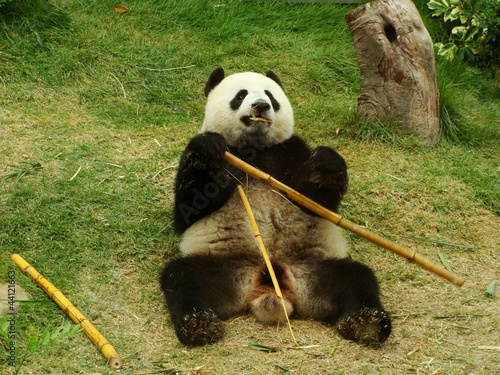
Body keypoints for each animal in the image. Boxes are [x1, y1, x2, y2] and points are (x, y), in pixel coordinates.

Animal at [160, 67, 390, 346]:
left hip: (314, 267)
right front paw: (207, 150)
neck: (256, 149)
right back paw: (198, 323)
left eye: (270, 95)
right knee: (182, 278)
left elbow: (315, 201)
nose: (261, 105)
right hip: (221, 266)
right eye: (240, 95)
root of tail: (269, 288)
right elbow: (188, 209)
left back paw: (366, 322)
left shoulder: (289, 152)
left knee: (357, 278)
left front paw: (326, 163)